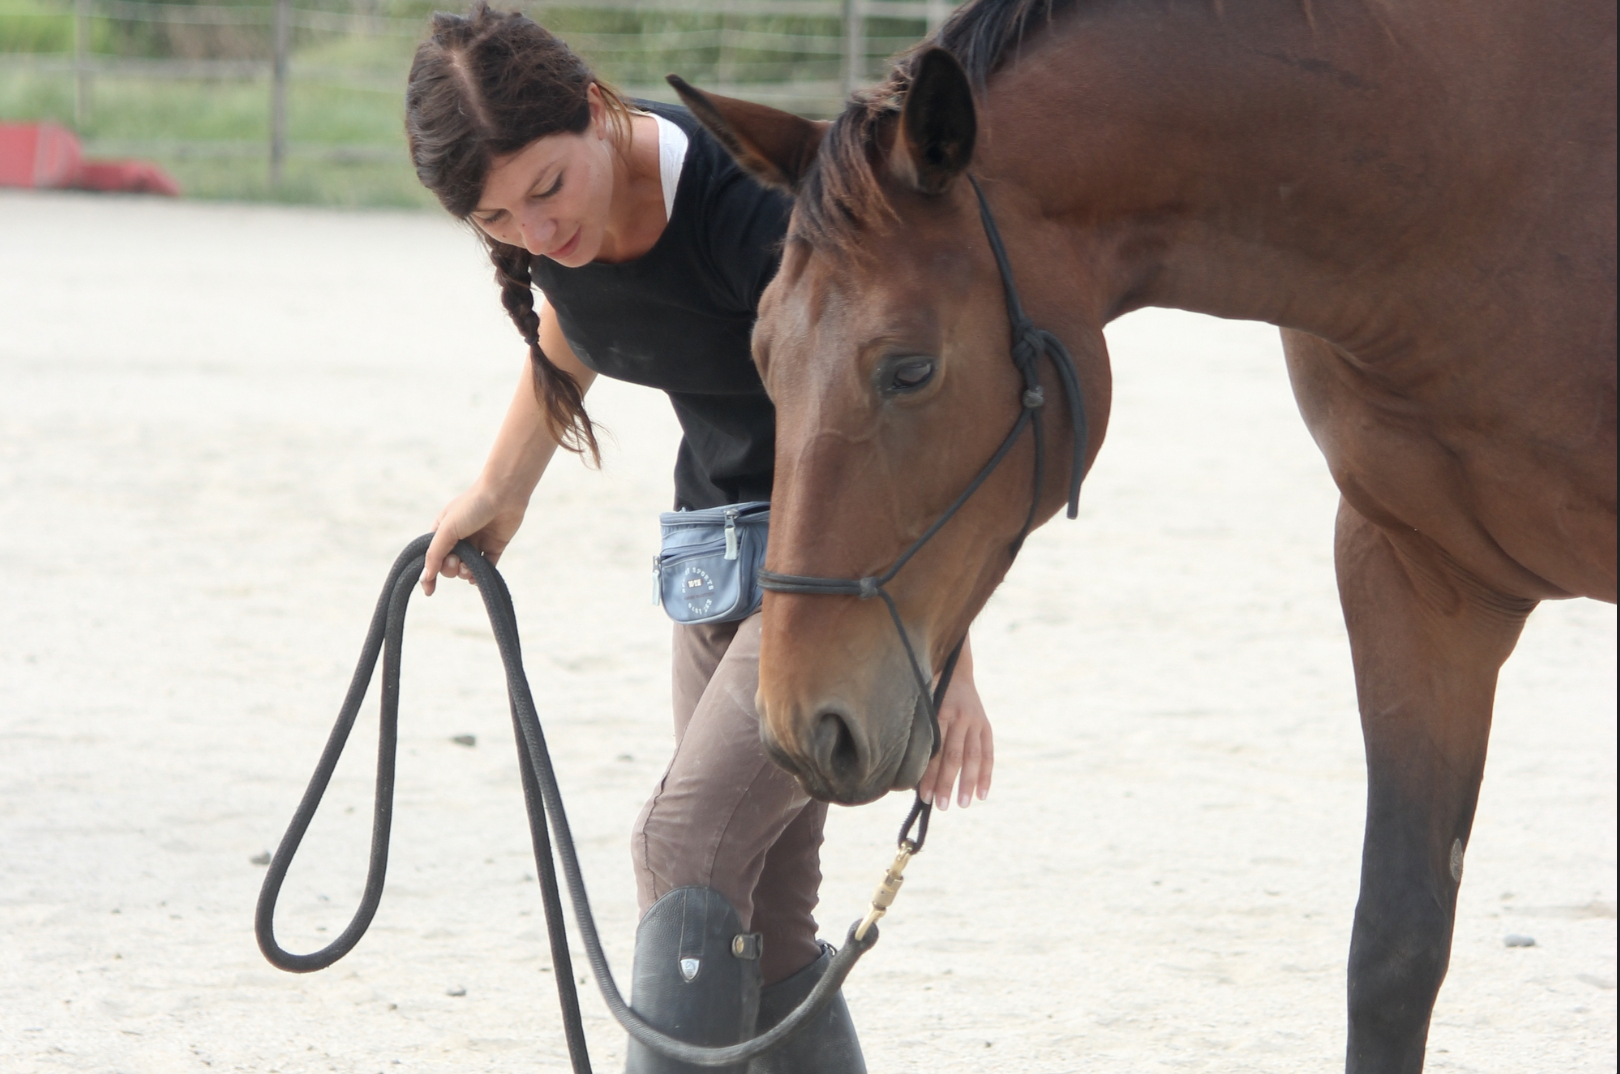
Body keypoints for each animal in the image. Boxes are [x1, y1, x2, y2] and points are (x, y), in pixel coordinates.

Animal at [668, 0, 1616, 1068]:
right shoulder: (1417, 584)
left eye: (909, 370)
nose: (801, 725)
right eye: (761, 354)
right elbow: (1396, 948)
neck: (1488, 181)